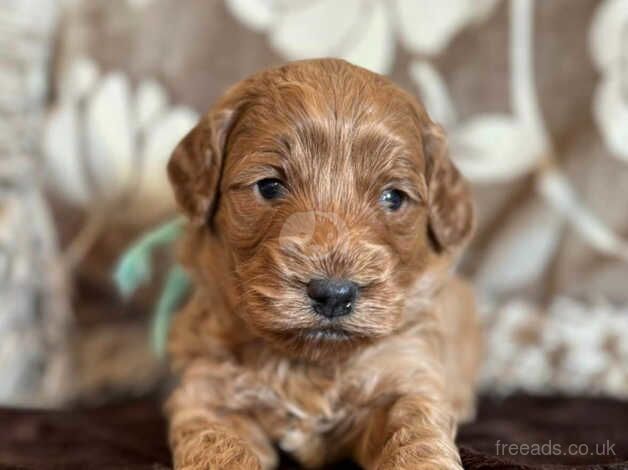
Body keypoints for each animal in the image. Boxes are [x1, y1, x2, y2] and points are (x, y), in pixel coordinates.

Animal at [166, 58, 480, 470]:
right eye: (269, 186)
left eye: (393, 197)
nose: (333, 294)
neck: (307, 364)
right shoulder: (208, 390)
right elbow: (219, 445)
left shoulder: (404, 369)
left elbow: (416, 432)